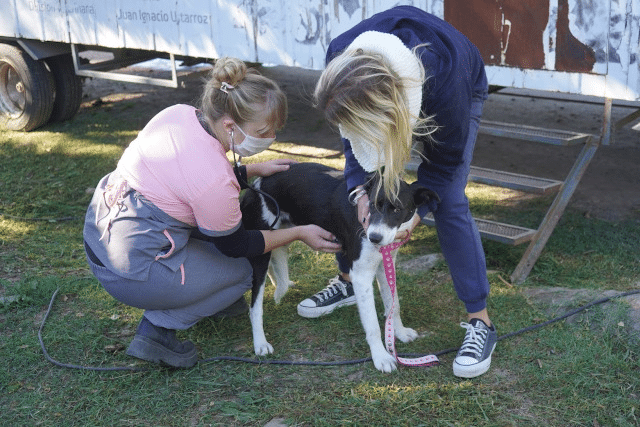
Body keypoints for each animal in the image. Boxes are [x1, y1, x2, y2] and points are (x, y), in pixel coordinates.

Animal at [240, 162, 440, 372]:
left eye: (397, 209)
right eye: (372, 205)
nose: (374, 238)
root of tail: (255, 185)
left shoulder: (386, 264)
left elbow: (394, 305)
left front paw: (399, 332)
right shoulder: (361, 275)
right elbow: (373, 325)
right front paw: (381, 356)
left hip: (281, 237)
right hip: (260, 248)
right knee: (255, 306)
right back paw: (260, 342)